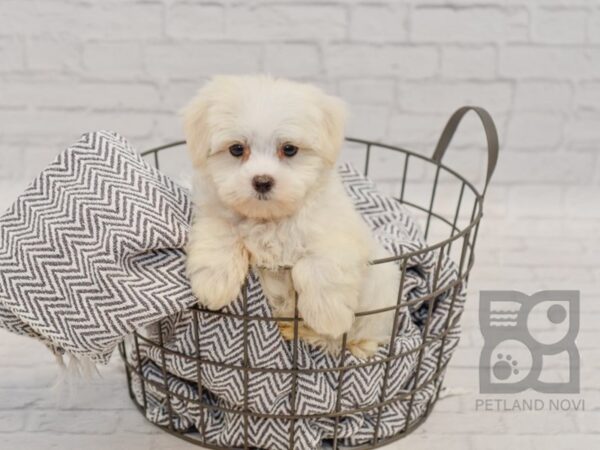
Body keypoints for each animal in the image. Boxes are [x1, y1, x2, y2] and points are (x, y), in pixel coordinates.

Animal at [183, 74, 398, 358]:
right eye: (237, 149)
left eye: (289, 149)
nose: (262, 181)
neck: (270, 219)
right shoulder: (215, 212)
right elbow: (219, 234)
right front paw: (214, 284)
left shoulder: (334, 231)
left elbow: (320, 266)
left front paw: (327, 315)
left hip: (379, 291)